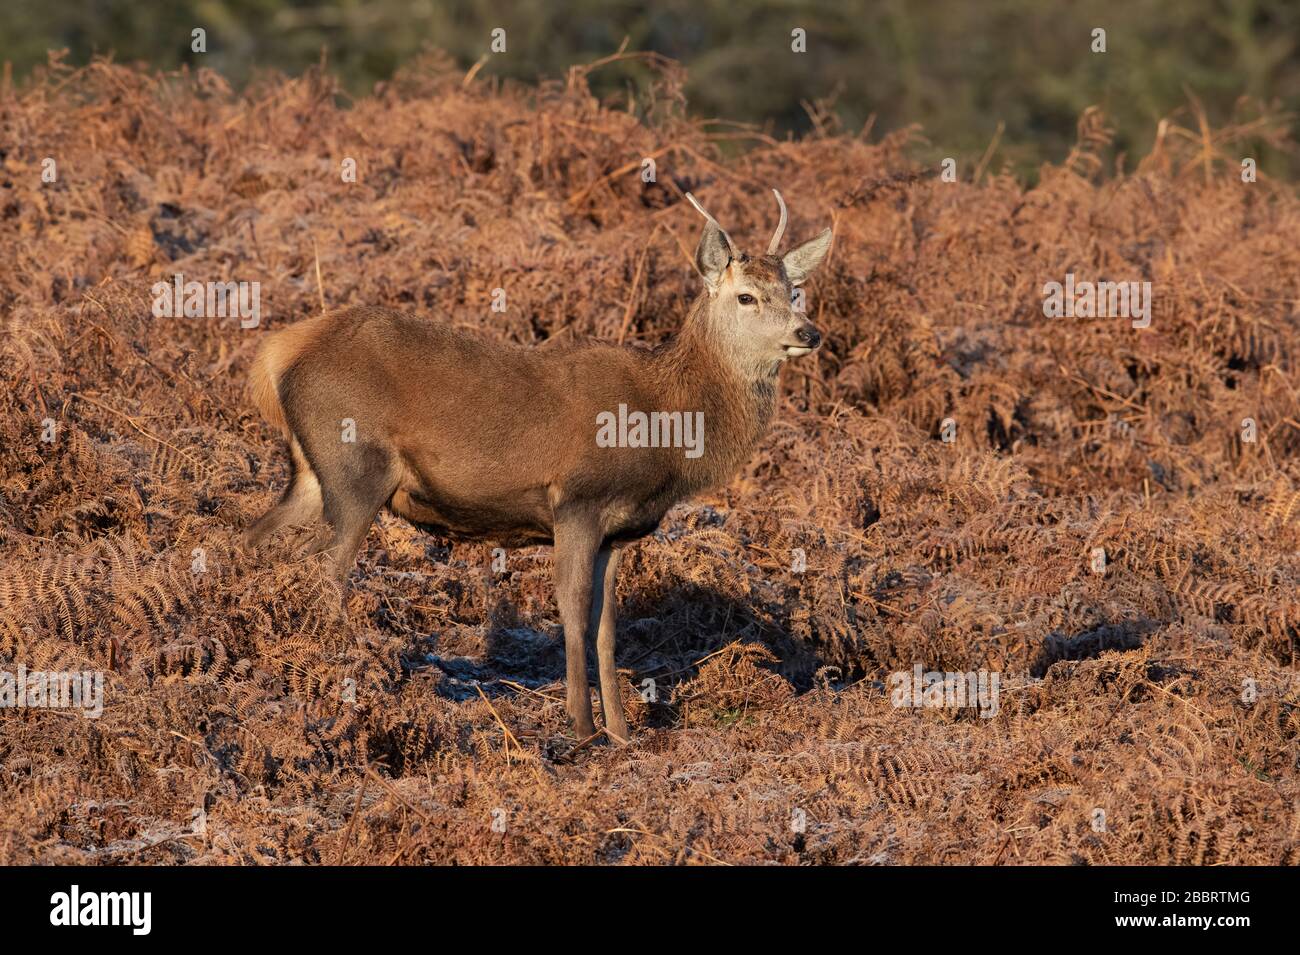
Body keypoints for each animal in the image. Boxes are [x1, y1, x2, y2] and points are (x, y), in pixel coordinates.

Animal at [243, 190, 832, 744]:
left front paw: (621, 731)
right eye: (746, 295)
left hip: (311, 475)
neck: (664, 421)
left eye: (793, 292)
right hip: (355, 470)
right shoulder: (577, 500)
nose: (810, 333)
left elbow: (605, 626)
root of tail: (277, 354)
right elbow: (571, 609)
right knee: (326, 570)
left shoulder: (619, 532)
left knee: (257, 539)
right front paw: (582, 726)